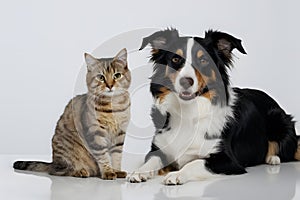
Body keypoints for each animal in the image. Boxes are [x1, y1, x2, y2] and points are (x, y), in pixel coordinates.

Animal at [13, 48, 130, 180]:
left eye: (117, 75)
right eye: (101, 77)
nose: (110, 85)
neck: (114, 107)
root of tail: (53, 162)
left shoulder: (120, 134)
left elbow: (116, 156)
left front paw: (117, 171)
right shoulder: (96, 133)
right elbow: (103, 156)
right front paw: (108, 172)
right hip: (66, 154)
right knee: (58, 171)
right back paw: (80, 171)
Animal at [126, 27, 300, 184]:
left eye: (204, 60)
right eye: (175, 59)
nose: (186, 81)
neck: (189, 111)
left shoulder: (227, 160)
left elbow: (196, 162)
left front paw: (177, 174)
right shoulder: (158, 149)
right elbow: (151, 160)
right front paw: (139, 172)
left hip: (278, 119)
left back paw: (273, 157)